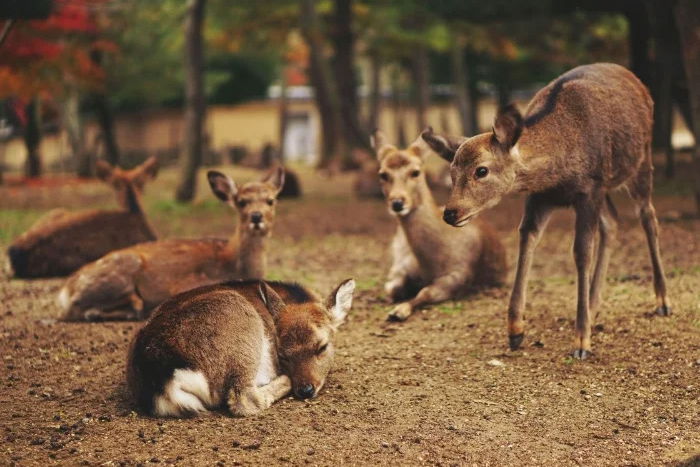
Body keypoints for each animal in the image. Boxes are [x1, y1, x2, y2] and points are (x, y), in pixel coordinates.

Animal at [56, 166, 284, 324]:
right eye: (241, 201)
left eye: (271, 200)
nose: (256, 216)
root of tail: (65, 290)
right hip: (120, 272)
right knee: (78, 310)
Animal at [370, 131, 506, 322]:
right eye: (382, 174)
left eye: (416, 172)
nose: (397, 203)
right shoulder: (401, 265)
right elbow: (392, 287)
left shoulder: (459, 274)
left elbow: (425, 292)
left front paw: (399, 311)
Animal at [422, 63, 672, 362]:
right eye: (452, 172)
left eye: (481, 170)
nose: (450, 212)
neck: (557, 171)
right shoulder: (541, 197)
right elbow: (527, 239)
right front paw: (515, 331)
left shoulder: (589, 190)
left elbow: (581, 252)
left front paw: (581, 341)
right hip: (607, 189)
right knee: (612, 222)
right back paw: (593, 304)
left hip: (641, 161)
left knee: (648, 217)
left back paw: (662, 301)